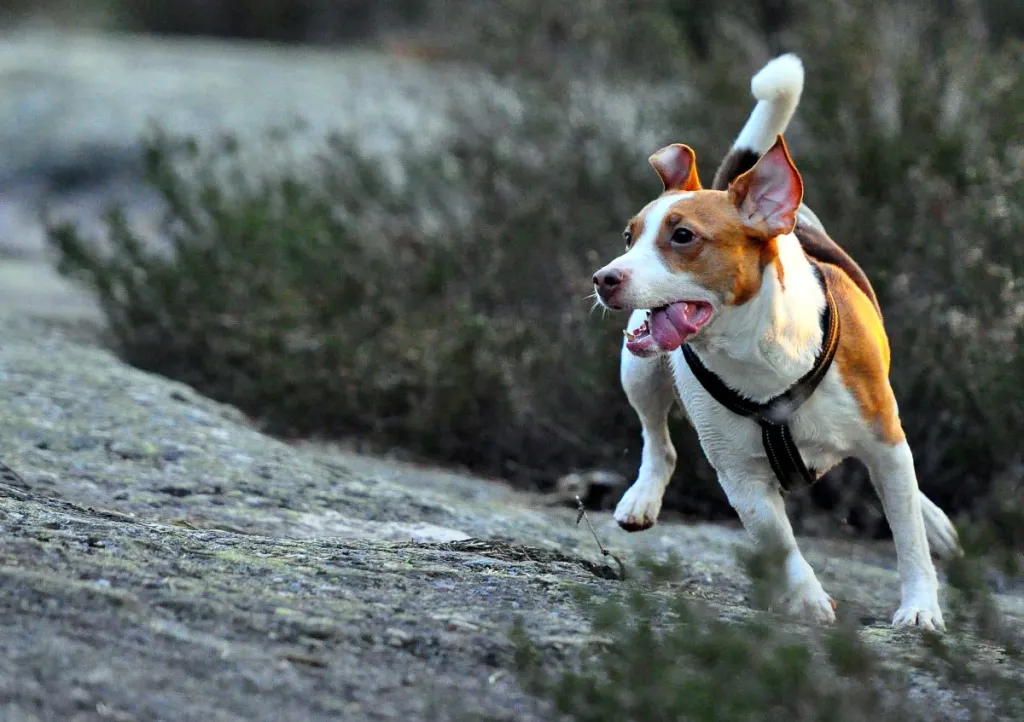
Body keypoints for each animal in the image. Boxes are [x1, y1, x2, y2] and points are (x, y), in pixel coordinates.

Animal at [593, 53, 958, 626]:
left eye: (683, 237)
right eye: (629, 237)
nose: (604, 278)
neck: (757, 354)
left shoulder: (883, 441)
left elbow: (907, 536)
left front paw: (920, 609)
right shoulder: (742, 479)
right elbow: (781, 543)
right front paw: (806, 600)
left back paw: (934, 520)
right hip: (640, 369)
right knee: (657, 440)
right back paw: (643, 496)